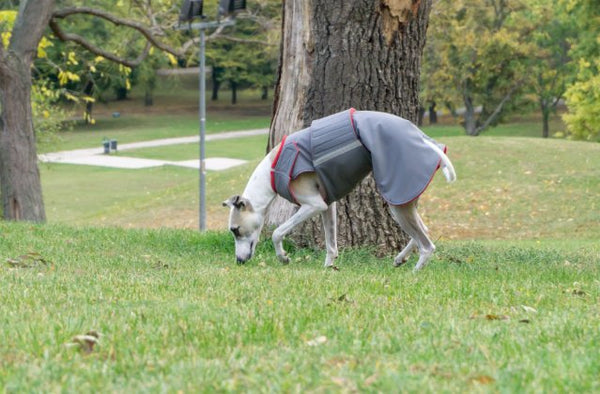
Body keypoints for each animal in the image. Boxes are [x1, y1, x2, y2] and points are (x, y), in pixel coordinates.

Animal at [224, 111, 454, 270]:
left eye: (235, 230)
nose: (239, 261)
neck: (271, 170)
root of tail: (423, 139)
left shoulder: (313, 204)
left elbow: (277, 232)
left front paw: (283, 257)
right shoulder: (326, 205)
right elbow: (331, 243)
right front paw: (329, 267)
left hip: (398, 198)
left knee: (427, 245)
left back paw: (415, 270)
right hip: (405, 199)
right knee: (424, 230)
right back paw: (400, 258)